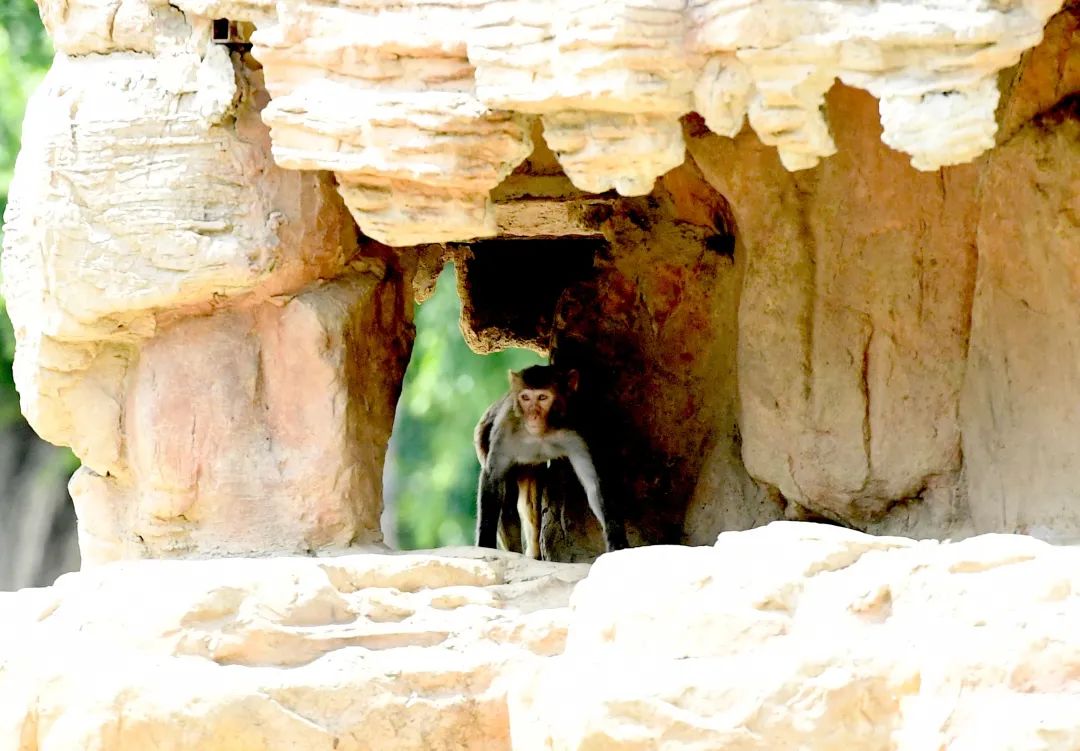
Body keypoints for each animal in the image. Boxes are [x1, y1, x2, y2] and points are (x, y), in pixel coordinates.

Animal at [470, 365, 630, 557]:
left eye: (542, 397)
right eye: (525, 397)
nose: (532, 415)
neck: (543, 432)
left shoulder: (579, 428)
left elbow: (593, 484)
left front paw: (617, 542)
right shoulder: (505, 426)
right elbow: (494, 478)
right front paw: (485, 544)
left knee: (529, 503)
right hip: (483, 437)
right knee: (507, 501)